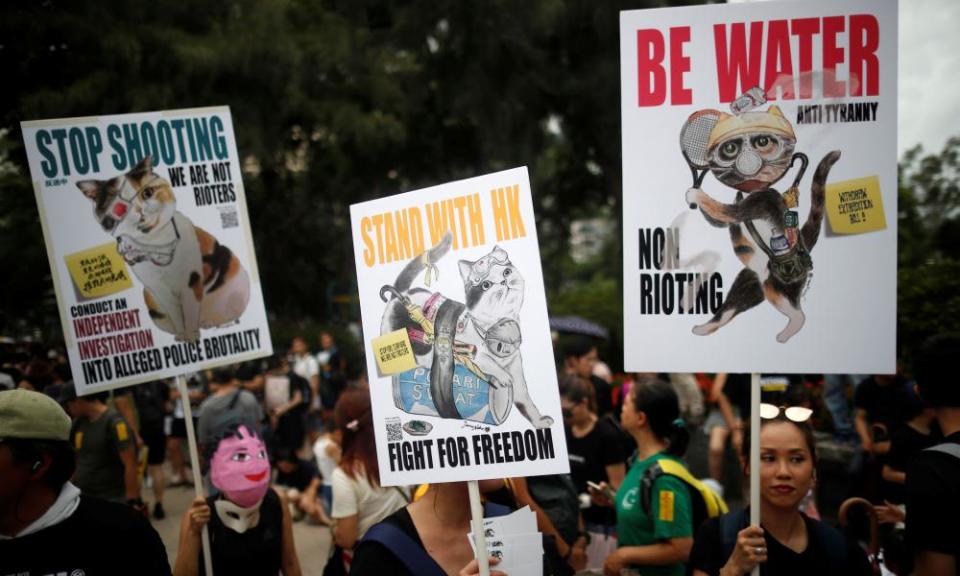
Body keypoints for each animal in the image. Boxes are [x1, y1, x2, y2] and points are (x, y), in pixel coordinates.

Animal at [79, 155, 249, 342]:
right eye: (119, 207)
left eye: (147, 193)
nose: (141, 211)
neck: (155, 244)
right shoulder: (158, 289)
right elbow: (176, 314)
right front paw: (183, 335)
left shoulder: (191, 282)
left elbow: (190, 312)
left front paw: (191, 337)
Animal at [684, 103, 840, 342]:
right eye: (730, 148)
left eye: (762, 142)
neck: (752, 190)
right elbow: (719, 220)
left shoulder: (757, 203)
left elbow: (724, 209)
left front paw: (695, 194)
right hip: (747, 283)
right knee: (727, 310)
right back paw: (702, 327)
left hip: (778, 287)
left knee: (798, 315)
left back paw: (786, 334)